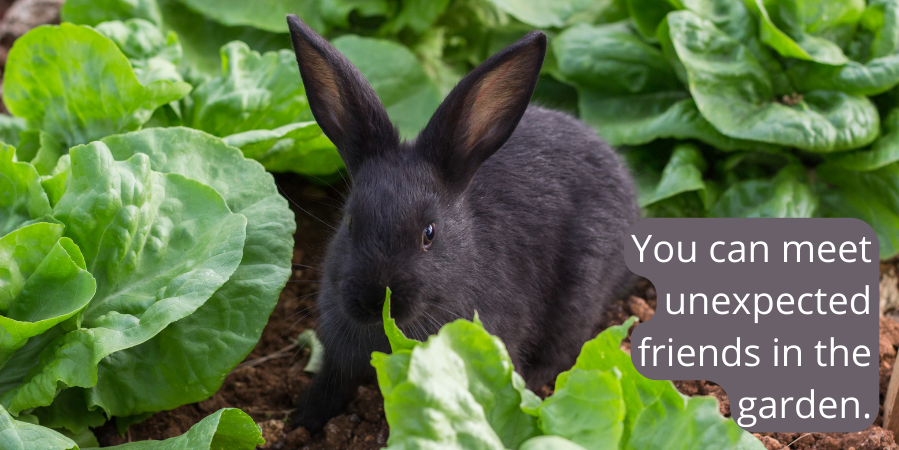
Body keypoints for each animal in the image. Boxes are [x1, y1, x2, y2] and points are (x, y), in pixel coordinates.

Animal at [288, 14, 640, 432]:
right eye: (351, 223)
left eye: (429, 233)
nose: (376, 301)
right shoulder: (339, 354)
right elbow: (331, 384)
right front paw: (301, 420)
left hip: (582, 289)